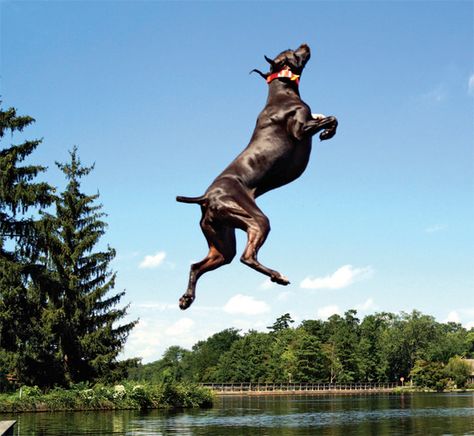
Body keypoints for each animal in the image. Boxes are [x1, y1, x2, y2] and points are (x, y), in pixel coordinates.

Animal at [177, 43, 336, 310]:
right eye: (292, 50)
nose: (305, 44)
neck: (282, 93)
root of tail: (206, 198)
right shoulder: (300, 129)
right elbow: (332, 118)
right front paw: (328, 131)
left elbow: (328, 117)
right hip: (255, 220)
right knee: (247, 257)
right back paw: (278, 276)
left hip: (222, 245)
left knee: (196, 266)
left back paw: (186, 298)